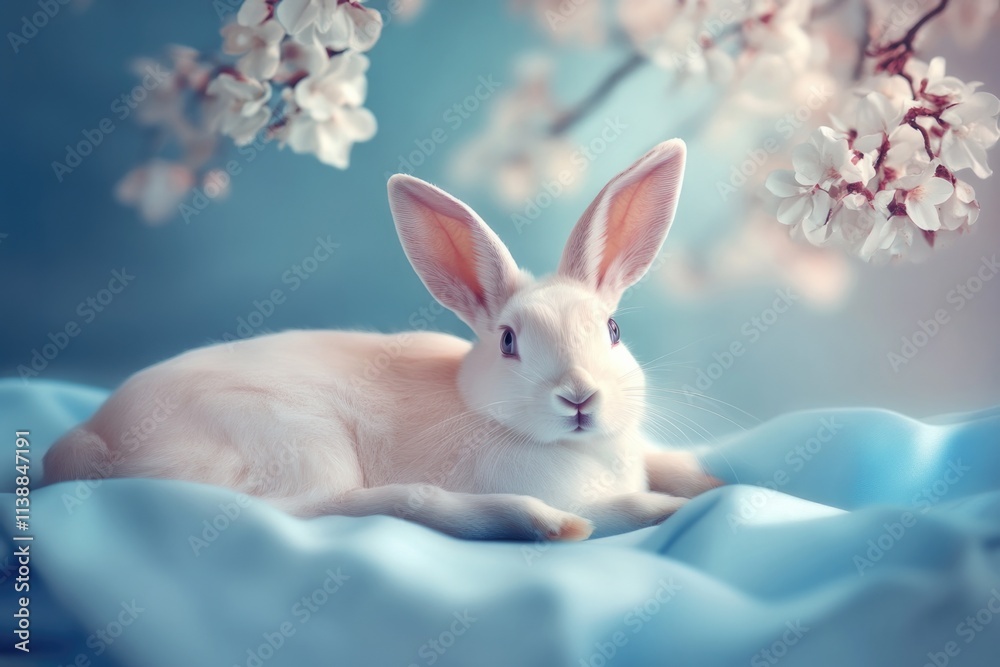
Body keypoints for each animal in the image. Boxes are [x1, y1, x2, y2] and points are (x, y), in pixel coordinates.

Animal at [43, 139, 721, 540]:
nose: (578, 396)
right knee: (307, 511)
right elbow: (612, 507)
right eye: (508, 341)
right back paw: (543, 522)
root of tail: (96, 438)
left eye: (613, 330)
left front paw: (710, 483)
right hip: (298, 442)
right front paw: (662, 507)